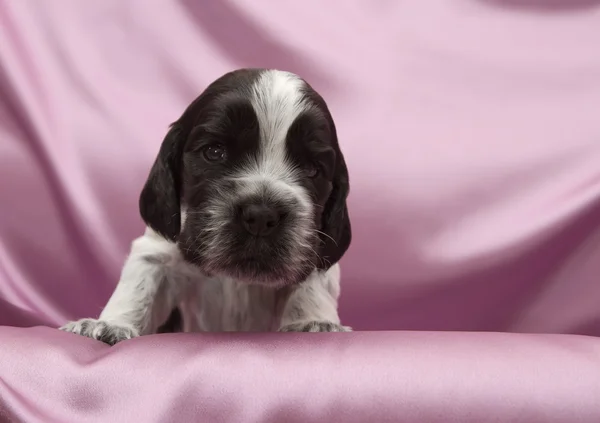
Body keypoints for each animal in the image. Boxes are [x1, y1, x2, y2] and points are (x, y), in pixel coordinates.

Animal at [59, 68, 352, 346]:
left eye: (312, 169)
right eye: (214, 152)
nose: (260, 215)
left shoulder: (313, 248)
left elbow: (311, 285)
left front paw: (314, 322)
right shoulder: (159, 248)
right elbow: (139, 283)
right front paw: (110, 324)